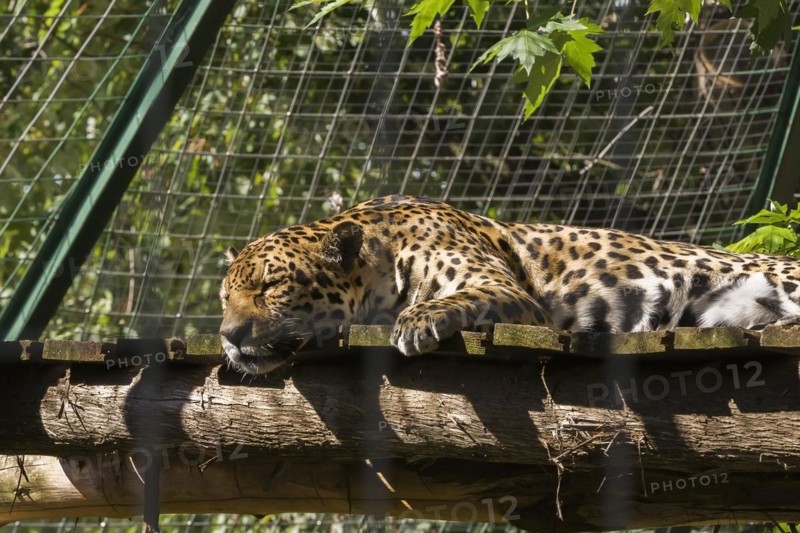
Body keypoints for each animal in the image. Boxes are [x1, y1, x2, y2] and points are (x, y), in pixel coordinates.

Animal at [219, 195, 800, 375]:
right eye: (225, 299)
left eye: (272, 286)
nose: (228, 336)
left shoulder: (505, 289)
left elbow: (457, 297)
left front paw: (417, 321)